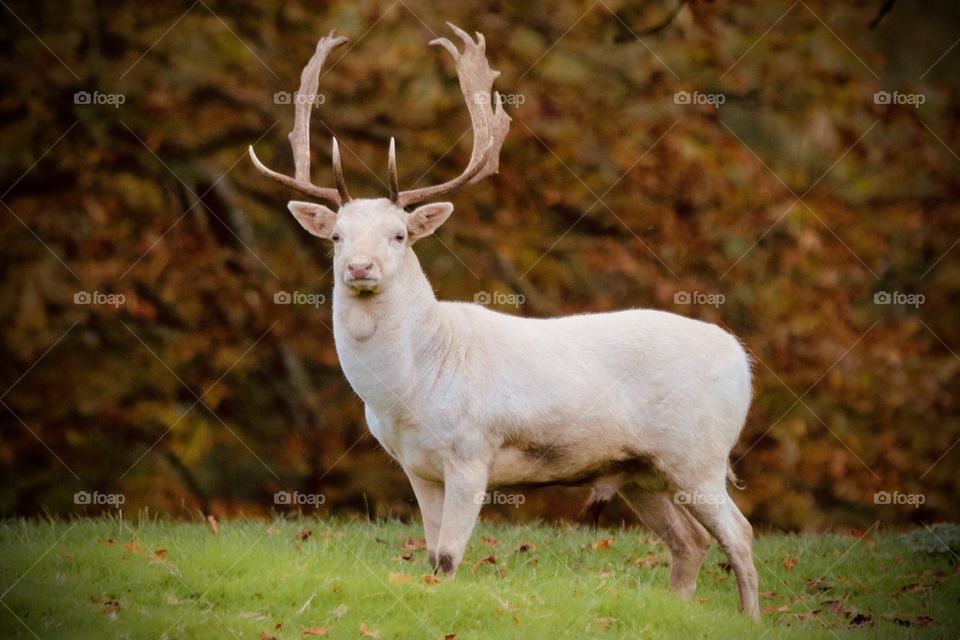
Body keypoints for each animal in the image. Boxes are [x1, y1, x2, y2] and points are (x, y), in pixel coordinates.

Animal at [249, 23, 760, 619]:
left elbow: (449, 558)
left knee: (740, 533)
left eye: (399, 234)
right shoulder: (416, 466)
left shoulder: (473, 452)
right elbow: (429, 555)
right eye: (336, 236)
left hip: (700, 450)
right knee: (692, 540)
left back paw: (750, 617)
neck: (409, 391)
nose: (359, 267)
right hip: (641, 470)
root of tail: (742, 360)